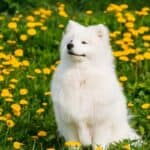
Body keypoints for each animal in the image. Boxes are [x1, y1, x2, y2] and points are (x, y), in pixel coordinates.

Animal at [51, 19, 139, 148]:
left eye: (84, 42)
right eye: (70, 41)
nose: (69, 45)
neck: (81, 75)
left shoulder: (100, 123)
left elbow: (98, 144)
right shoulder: (69, 124)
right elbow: (73, 145)